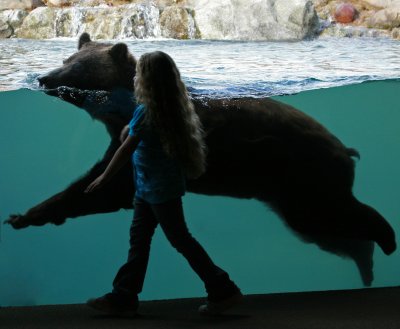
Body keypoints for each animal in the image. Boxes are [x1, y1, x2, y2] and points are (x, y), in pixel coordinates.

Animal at [5, 32, 394, 286]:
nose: (43, 78)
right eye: (66, 58)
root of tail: (344, 150)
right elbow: (106, 184)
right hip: (287, 193)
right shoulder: (123, 140)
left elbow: (107, 186)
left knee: (332, 216)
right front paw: (25, 216)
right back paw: (368, 263)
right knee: (324, 232)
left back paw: (385, 237)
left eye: (80, 65)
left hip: (301, 172)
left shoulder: (146, 141)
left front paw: (28, 213)